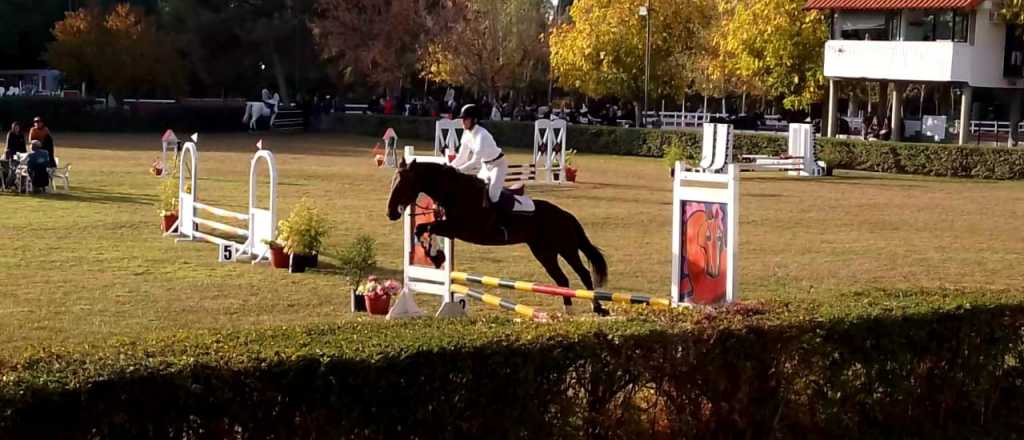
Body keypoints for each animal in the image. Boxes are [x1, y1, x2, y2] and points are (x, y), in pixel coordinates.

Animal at [385, 159, 606, 315]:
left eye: (403, 183)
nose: (391, 213)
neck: (456, 193)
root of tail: (565, 215)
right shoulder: (448, 228)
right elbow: (421, 229)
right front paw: (436, 256)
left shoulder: (456, 228)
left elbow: (426, 228)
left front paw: (435, 256)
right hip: (544, 252)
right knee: (562, 279)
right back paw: (569, 310)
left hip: (565, 248)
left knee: (584, 274)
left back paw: (598, 308)